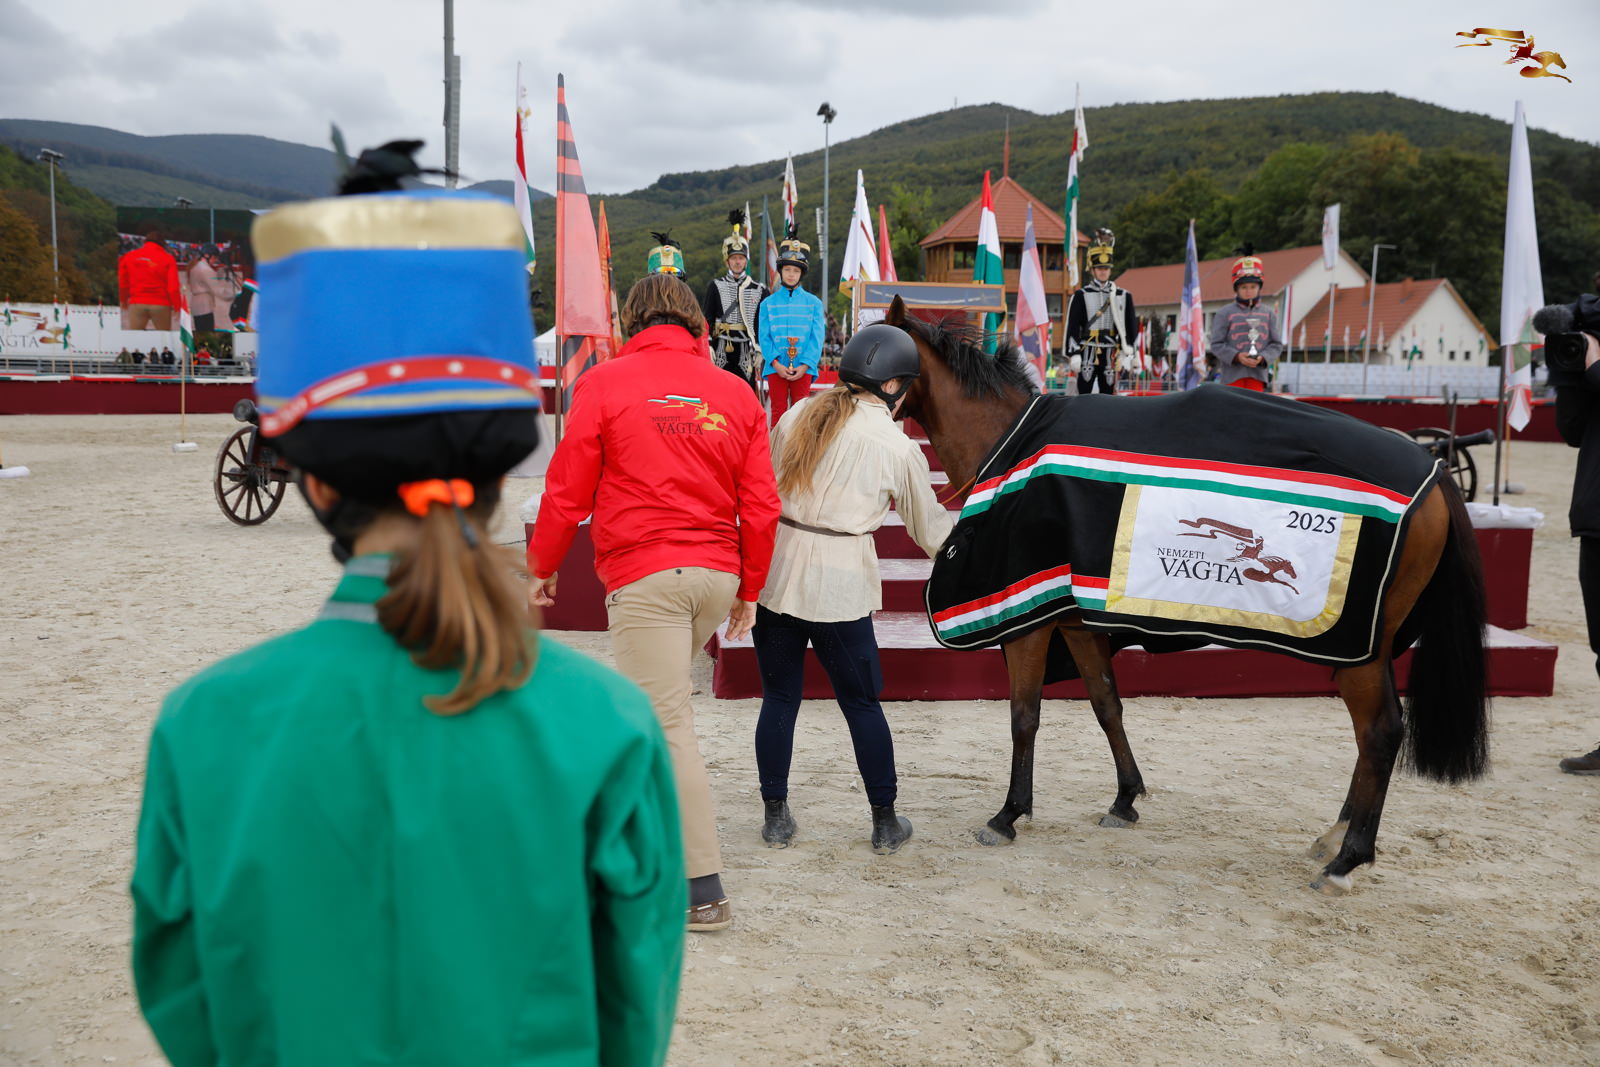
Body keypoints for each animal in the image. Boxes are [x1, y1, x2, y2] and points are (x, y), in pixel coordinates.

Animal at [885, 297, 1489, 894]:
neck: (1014, 444)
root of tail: (1437, 471)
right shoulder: (1076, 618)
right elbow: (1106, 703)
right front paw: (1125, 798)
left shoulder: (1028, 619)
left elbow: (1024, 716)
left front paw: (1009, 813)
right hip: (1366, 653)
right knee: (1370, 740)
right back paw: (1337, 835)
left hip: (1358, 653)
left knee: (1380, 734)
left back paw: (1348, 857)